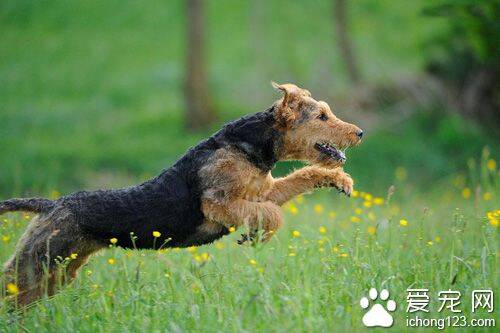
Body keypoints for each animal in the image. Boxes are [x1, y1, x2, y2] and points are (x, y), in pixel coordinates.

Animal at [0, 82, 360, 304]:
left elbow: (299, 179)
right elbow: (272, 215)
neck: (249, 145)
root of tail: (50, 204)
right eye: (322, 116)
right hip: (36, 266)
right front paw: (256, 235)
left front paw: (340, 181)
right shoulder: (218, 202)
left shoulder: (262, 192)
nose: (359, 132)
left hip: (57, 273)